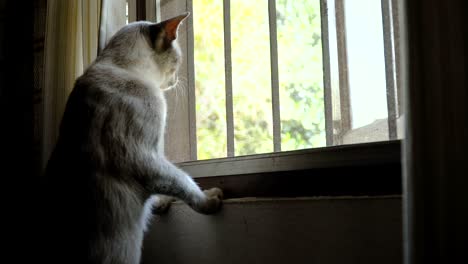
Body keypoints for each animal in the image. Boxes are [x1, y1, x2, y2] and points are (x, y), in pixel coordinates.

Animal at [39, 12, 222, 264]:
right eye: (178, 61)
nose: (177, 80)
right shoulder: (146, 158)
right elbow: (184, 181)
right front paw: (209, 199)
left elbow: (166, 188)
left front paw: (160, 203)